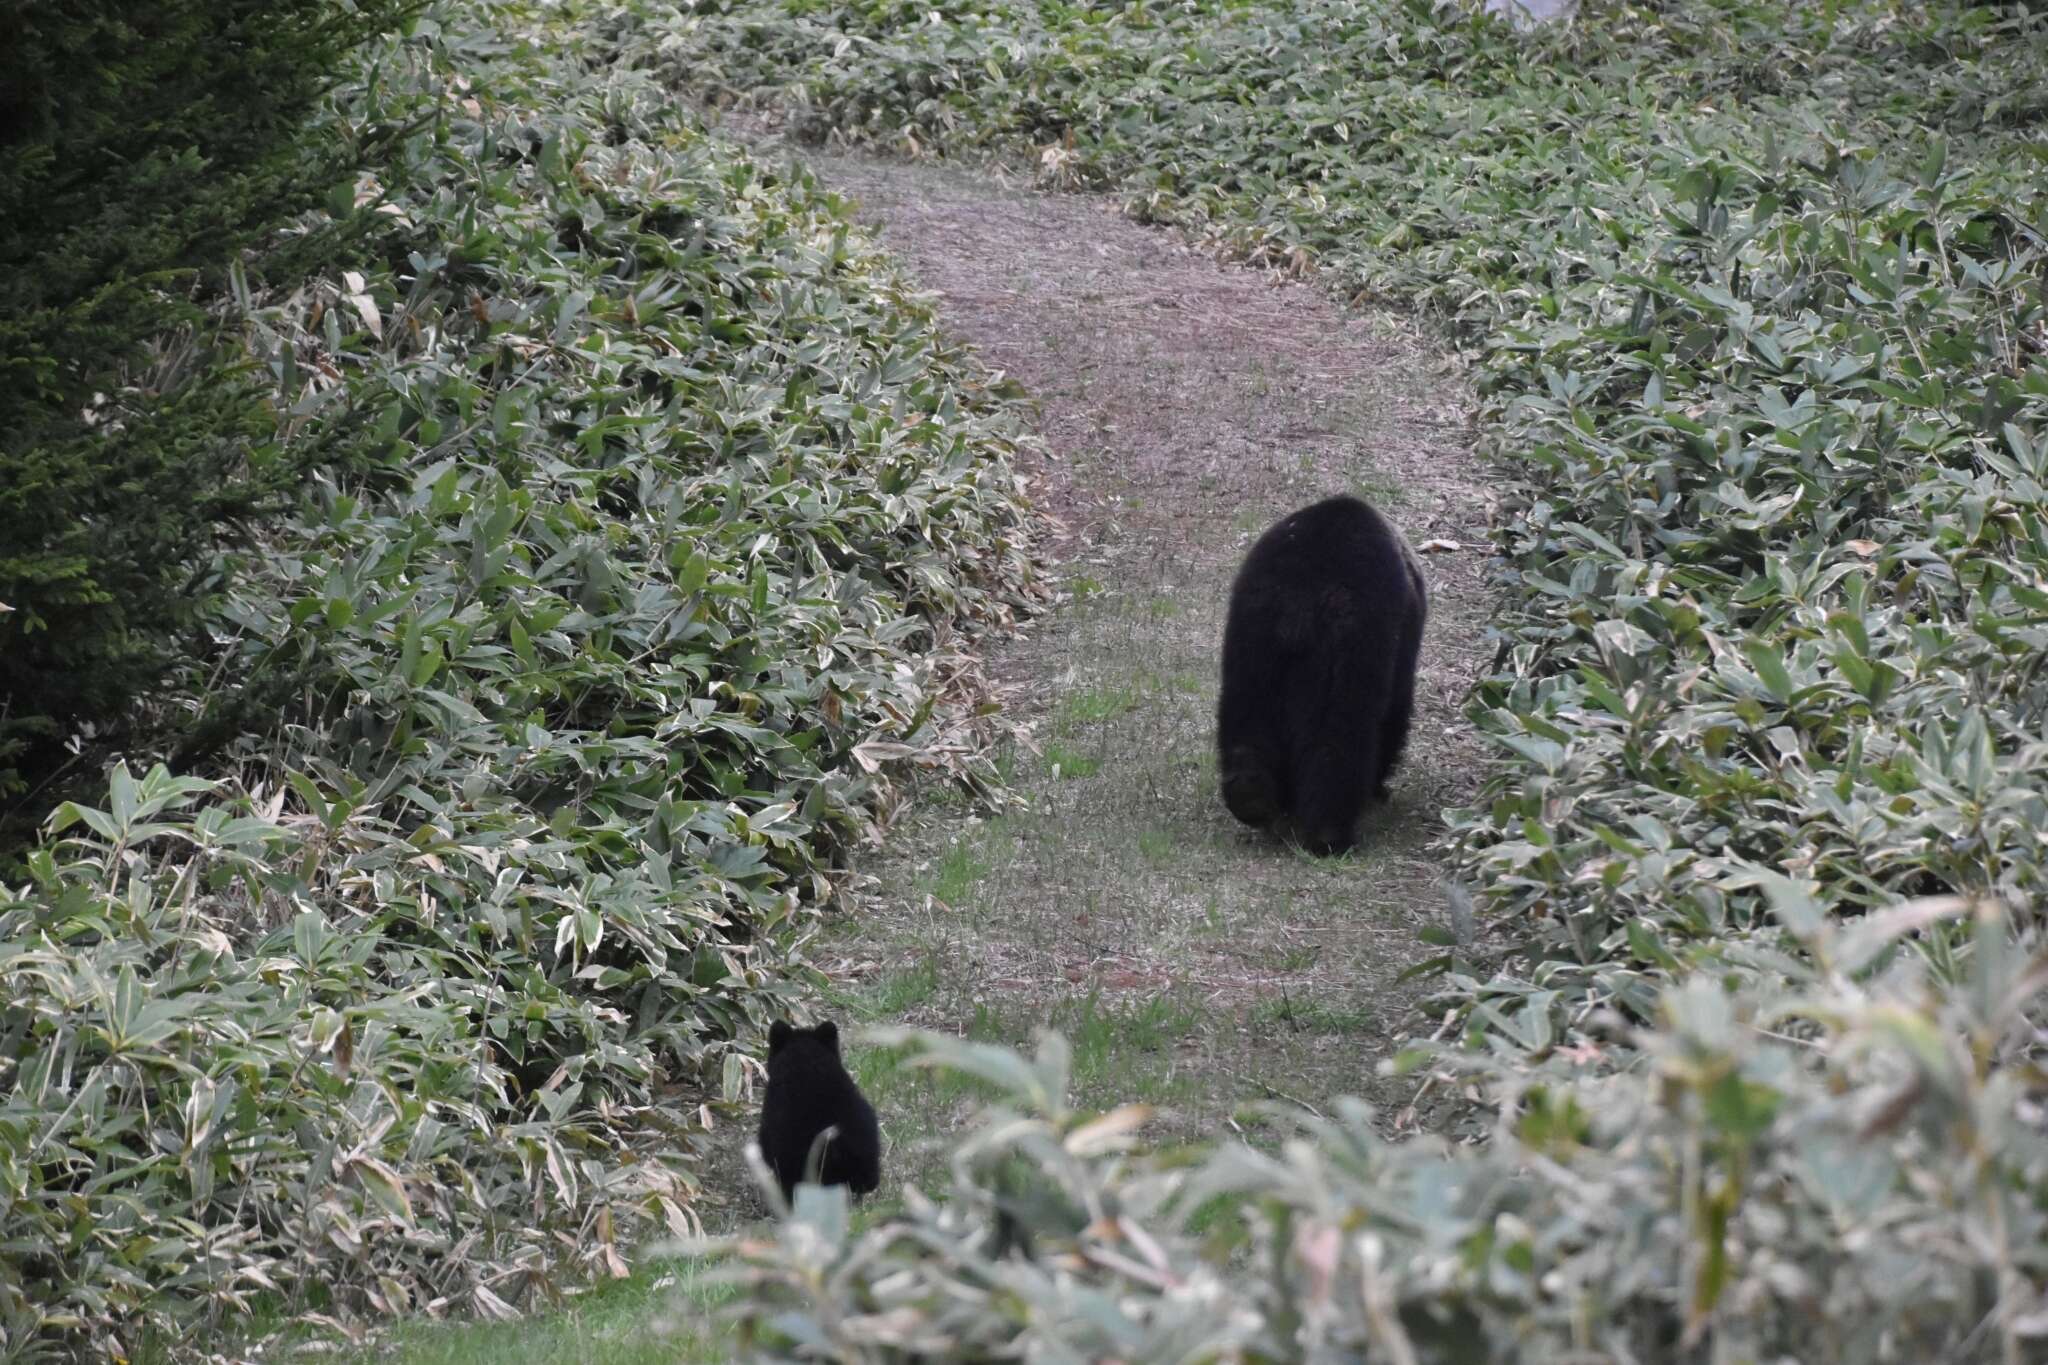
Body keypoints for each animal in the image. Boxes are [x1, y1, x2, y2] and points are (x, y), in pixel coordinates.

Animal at [1212, 491, 1425, 855]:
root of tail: (1298, 597)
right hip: (1349, 643)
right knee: (1340, 732)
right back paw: (1329, 833)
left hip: (1252, 632)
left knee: (1245, 707)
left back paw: (1251, 796)